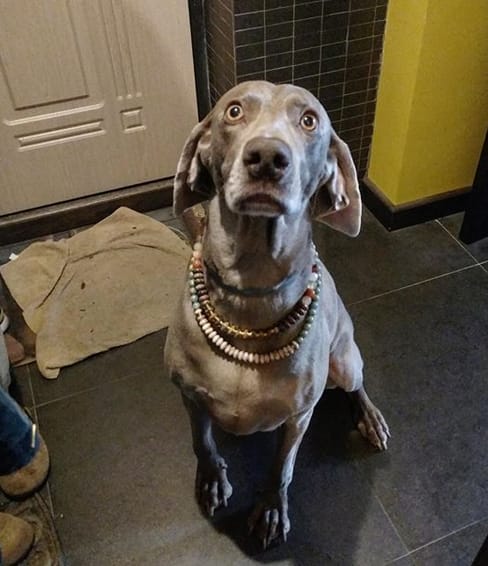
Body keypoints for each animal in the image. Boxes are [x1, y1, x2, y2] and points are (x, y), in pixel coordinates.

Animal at [164, 81, 390, 548]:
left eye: (309, 120)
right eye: (233, 111)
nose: (267, 157)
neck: (251, 291)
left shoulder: (299, 416)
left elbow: (281, 467)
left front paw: (270, 509)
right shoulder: (189, 395)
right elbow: (202, 442)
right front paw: (211, 480)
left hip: (344, 360)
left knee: (357, 384)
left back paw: (370, 418)